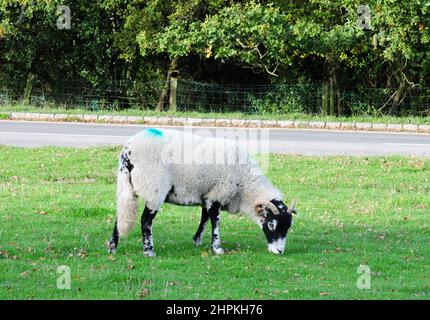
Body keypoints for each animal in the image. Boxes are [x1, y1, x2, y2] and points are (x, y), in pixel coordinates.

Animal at [107, 126, 296, 256]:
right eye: (271, 224)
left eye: (288, 227)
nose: (279, 252)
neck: (244, 184)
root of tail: (127, 151)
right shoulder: (218, 193)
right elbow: (215, 221)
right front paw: (217, 248)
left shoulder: (208, 195)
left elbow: (204, 218)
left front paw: (197, 240)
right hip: (155, 189)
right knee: (145, 220)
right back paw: (149, 251)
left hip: (127, 187)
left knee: (121, 214)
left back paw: (112, 246)